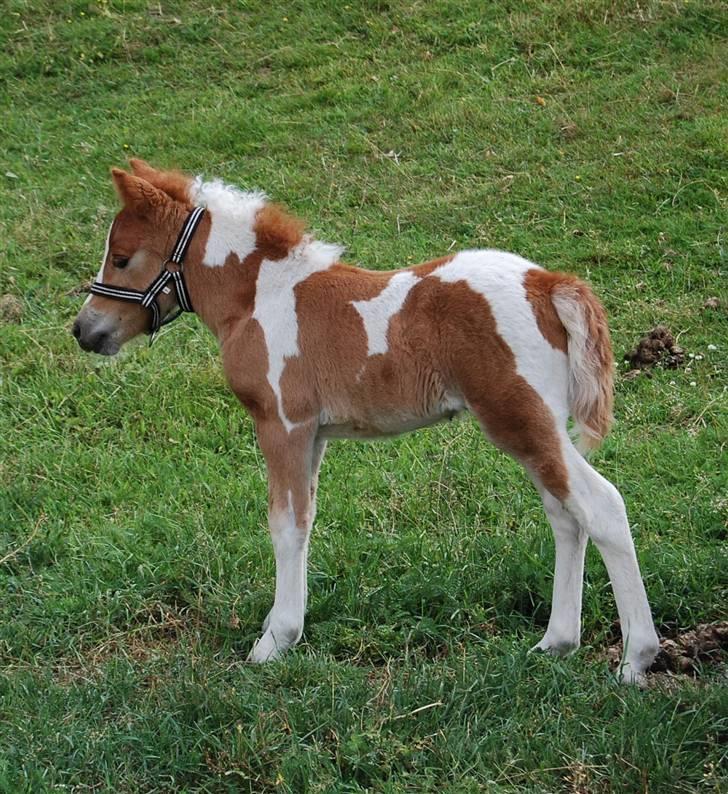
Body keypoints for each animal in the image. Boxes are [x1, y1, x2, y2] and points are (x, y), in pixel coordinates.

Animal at [72, 161, 660, 680]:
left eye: (121, 258)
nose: (84, 330)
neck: (260, 298)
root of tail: (546, 282)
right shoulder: (313, 434)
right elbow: (305, 520)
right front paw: (283, 626)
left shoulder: (281, 424)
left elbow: (284, 524)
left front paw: (274, 642)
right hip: (538, 425)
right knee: (566, 514)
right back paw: (556, 643)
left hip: (521, 417)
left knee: (601, 506)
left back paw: (636, 660)